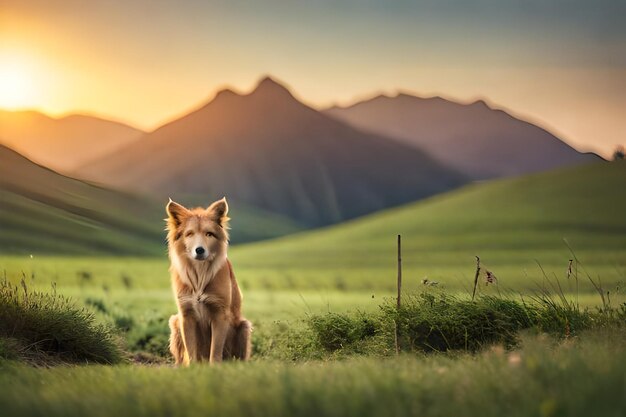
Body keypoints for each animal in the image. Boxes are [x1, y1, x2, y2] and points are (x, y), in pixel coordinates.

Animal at [167, 198, 252, 364]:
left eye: (209, 234)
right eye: (189, 234)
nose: (199, 250)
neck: (200, 274)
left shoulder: (220, 314)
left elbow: (216, 349)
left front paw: (214, 367)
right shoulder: (186, 315)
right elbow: (191, 350)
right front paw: (193, 367)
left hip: (243, 326)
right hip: (175, 322)